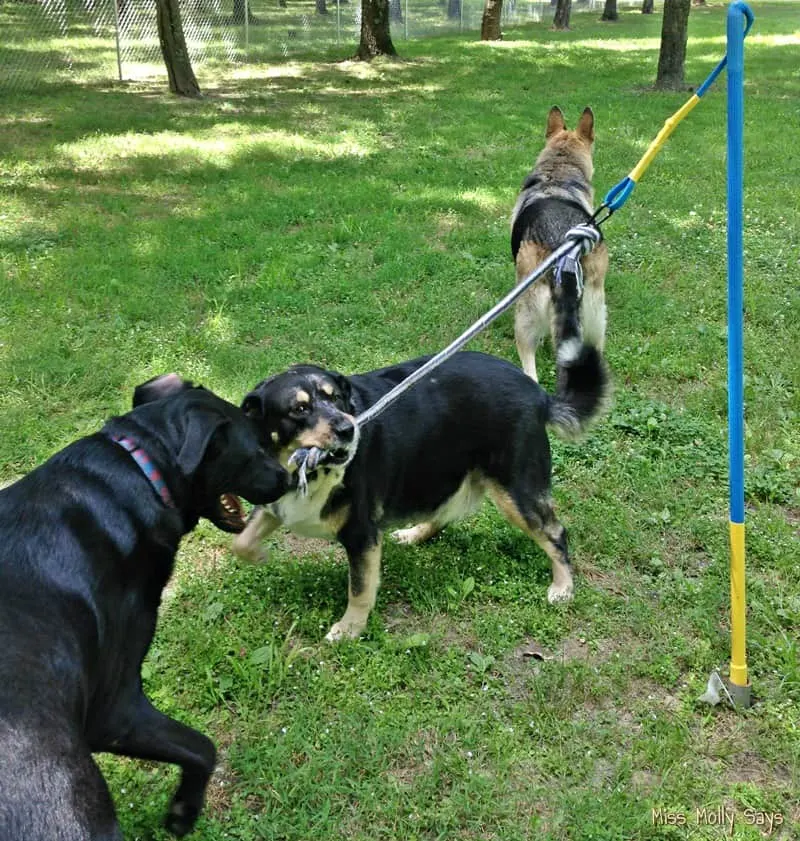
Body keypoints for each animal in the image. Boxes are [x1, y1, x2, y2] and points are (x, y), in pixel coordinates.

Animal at [0, 374, 288, 841]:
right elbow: (203, 747)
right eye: (259, 447)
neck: (141, 469)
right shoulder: (117, 709)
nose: (289, 475)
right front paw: (184, 810)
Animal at [233, 344, 609, 642]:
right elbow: (240, 543)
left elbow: (360, 589)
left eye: (336, 398)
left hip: (516, 491)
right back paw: (414, 533)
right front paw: (258, 556)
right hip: (441, 470)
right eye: (299, 409)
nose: (347, 429)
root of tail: (536, 392)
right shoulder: (275, 503)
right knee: (446, 512)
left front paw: (350, 628)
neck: (308, 472)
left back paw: (563, 586)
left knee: (555, 532)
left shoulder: (362, 534)